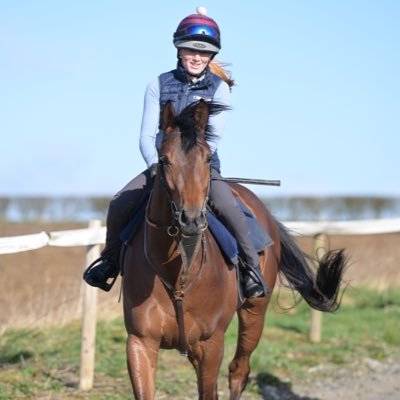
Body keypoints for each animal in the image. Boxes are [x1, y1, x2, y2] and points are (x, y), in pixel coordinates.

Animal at [122, 100, 346, 400]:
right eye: (165, 159)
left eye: (207, 158)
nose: (191, 219)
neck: (176, 273)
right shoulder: (141, 342)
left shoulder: (211, 344)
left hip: (254, 313)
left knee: (239, 371)